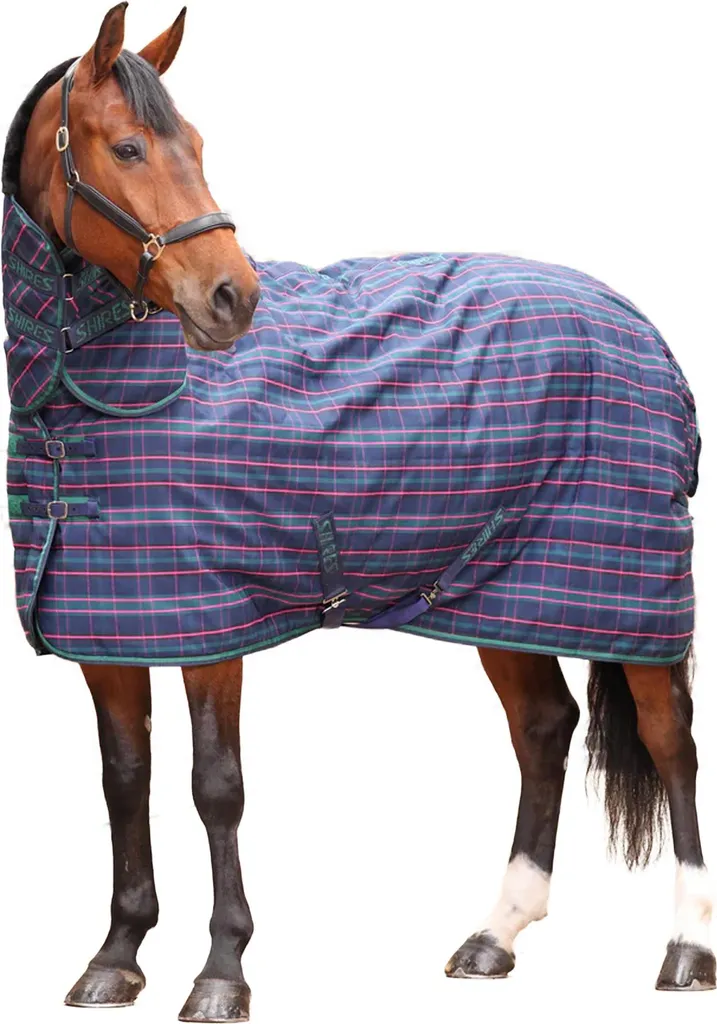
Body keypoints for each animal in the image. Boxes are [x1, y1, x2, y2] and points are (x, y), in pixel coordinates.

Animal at [2, 4, 713, 1021]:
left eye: (199, 144)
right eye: (129, 147)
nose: (231, 296)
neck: (101, 401)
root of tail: (638, 326)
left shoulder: (217, 629)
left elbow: (215, 787)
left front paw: (221, 972)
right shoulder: (110, 630)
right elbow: (123, 780)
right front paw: (116, 956)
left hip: (630, 593)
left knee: (670, 743)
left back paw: (686, 948)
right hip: (501, 592)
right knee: (544, 729)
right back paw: (494, 936)